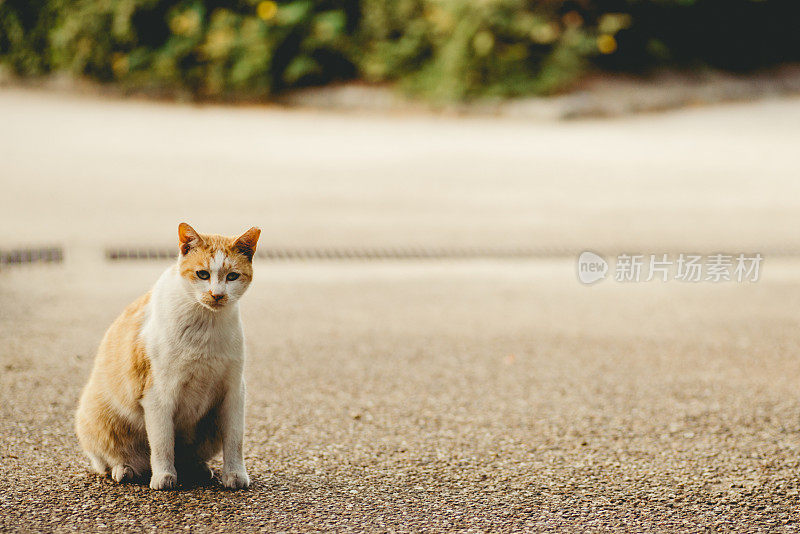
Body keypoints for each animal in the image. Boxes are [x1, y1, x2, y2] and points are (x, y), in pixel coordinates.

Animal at [75, 222, 260, 490]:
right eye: (202, 274)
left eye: (232, 276)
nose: (217, 294)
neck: (205, 323)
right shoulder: (158, 394)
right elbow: (162, 442)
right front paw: (163, 476)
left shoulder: (234, 391)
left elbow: (235, 439)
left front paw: (234, 474)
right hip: (95, 417)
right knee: (108, 459)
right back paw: (125, 468)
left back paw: (196, 468)